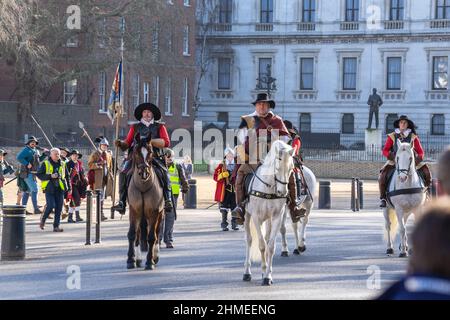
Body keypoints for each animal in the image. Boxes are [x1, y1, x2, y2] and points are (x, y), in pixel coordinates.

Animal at [243, 140, 296, 284]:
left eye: (291, 169)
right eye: (277, 168)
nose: (282, 192)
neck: (268, 188)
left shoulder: (277, 217)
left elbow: (270, 246)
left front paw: (267, 275)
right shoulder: (256, 217)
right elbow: (261, 245)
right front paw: (263, 271)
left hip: (268, 219)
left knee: (266, 238)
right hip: (247, 215)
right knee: (249, 240)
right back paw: (247, 272)